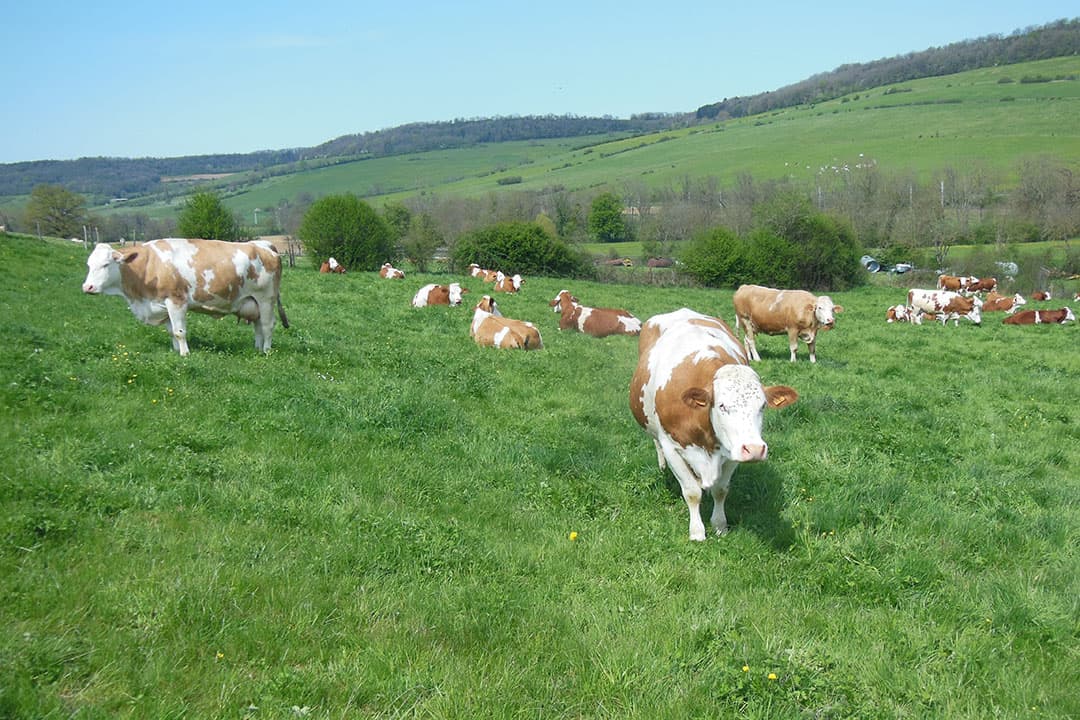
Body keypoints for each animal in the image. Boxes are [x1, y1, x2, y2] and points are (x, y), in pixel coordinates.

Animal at [82, 238, 288, 356]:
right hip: (252, 301)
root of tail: (262, 244)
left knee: (268, 325)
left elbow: (180, 331)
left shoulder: (176, 301)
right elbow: (171, 331)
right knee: (258, 326)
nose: (87, 287)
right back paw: (257, 349)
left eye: (106, 264)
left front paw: (184, 354)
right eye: (89, 264)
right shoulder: (162, 305)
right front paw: (175, 350)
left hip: (266, 298)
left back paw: (266, 351)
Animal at [629, 308, 799, 541]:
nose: (755, 449)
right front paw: (697, 532)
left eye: (762, 406)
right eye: (722, 405)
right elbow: (692, 492)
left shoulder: (733, 450)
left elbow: (721, 490)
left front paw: (720, 525)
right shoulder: (672, 446)